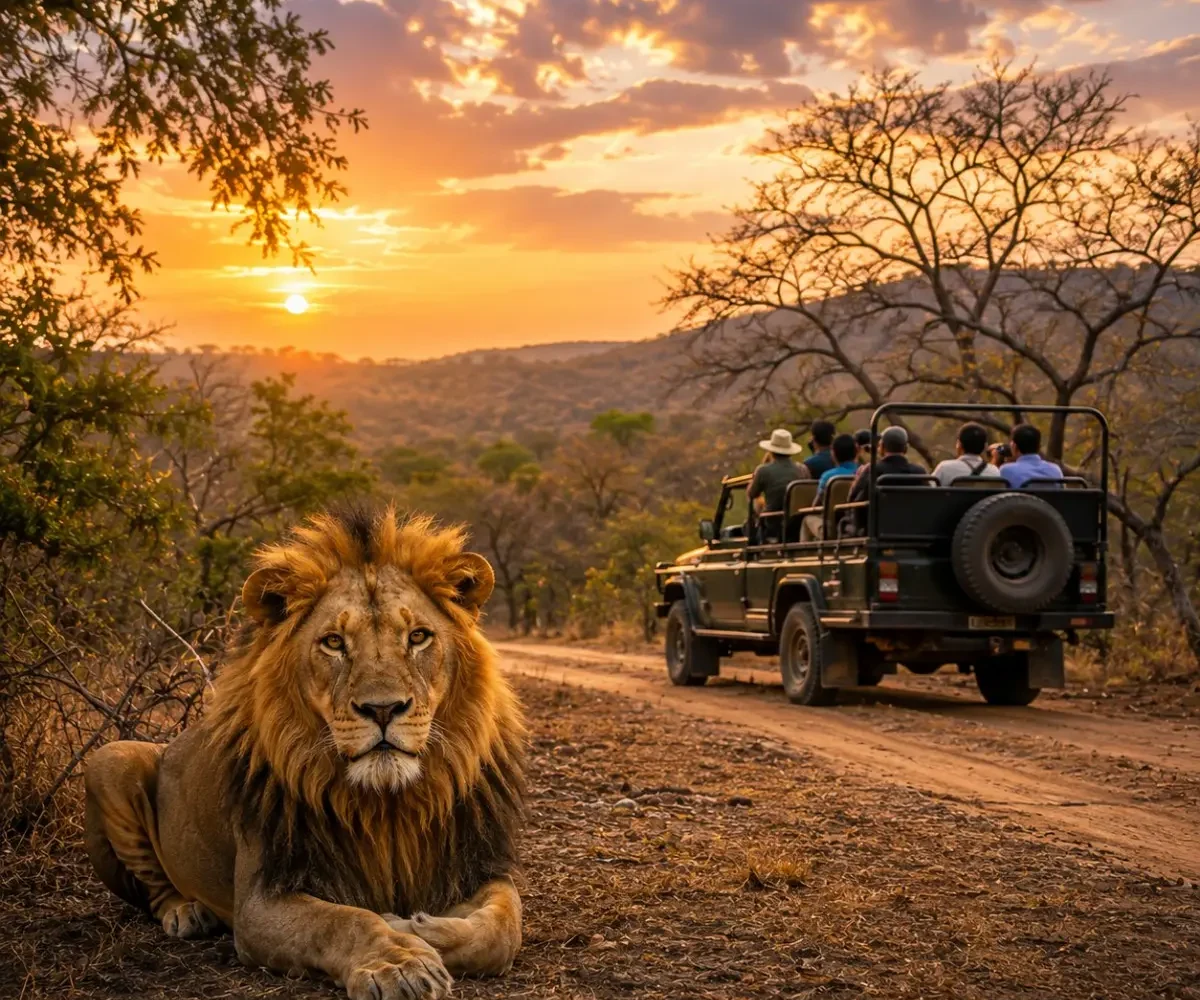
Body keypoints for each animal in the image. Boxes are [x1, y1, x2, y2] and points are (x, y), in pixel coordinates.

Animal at [83, 506, 526, 1000]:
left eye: (418, 637)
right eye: (334, 642)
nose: (383, 708)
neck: (389, 806)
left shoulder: (475, 864)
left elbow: (503, 928)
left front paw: (415, 926)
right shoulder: (261, 899)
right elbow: (343, 922)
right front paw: (399, 961)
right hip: (111, 758)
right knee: (153, 886)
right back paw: (186, 913)